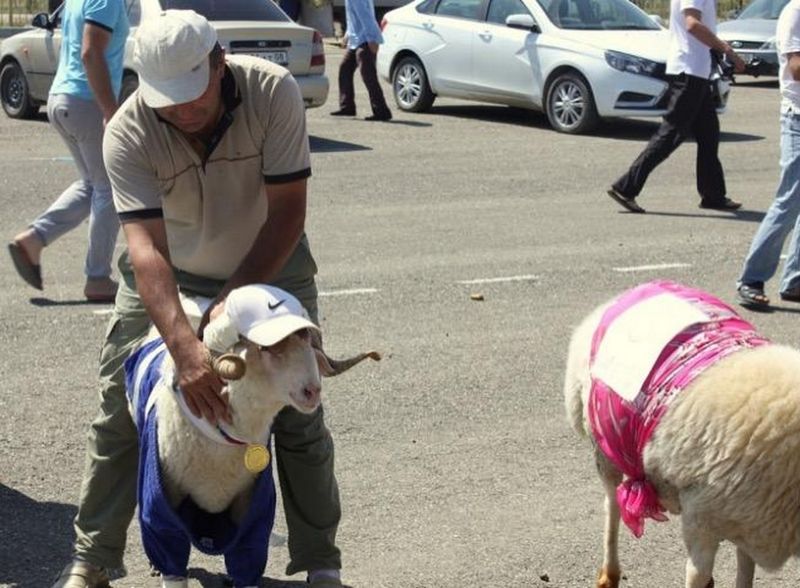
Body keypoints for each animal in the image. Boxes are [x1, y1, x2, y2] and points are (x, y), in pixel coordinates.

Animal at [564, 282, 800, 588]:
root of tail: (635, 290)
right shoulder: (701, 519)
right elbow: (697, 572)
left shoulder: (752, 521)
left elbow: (745, 567)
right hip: (604, 444)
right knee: (612, 503)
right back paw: (609, 573)